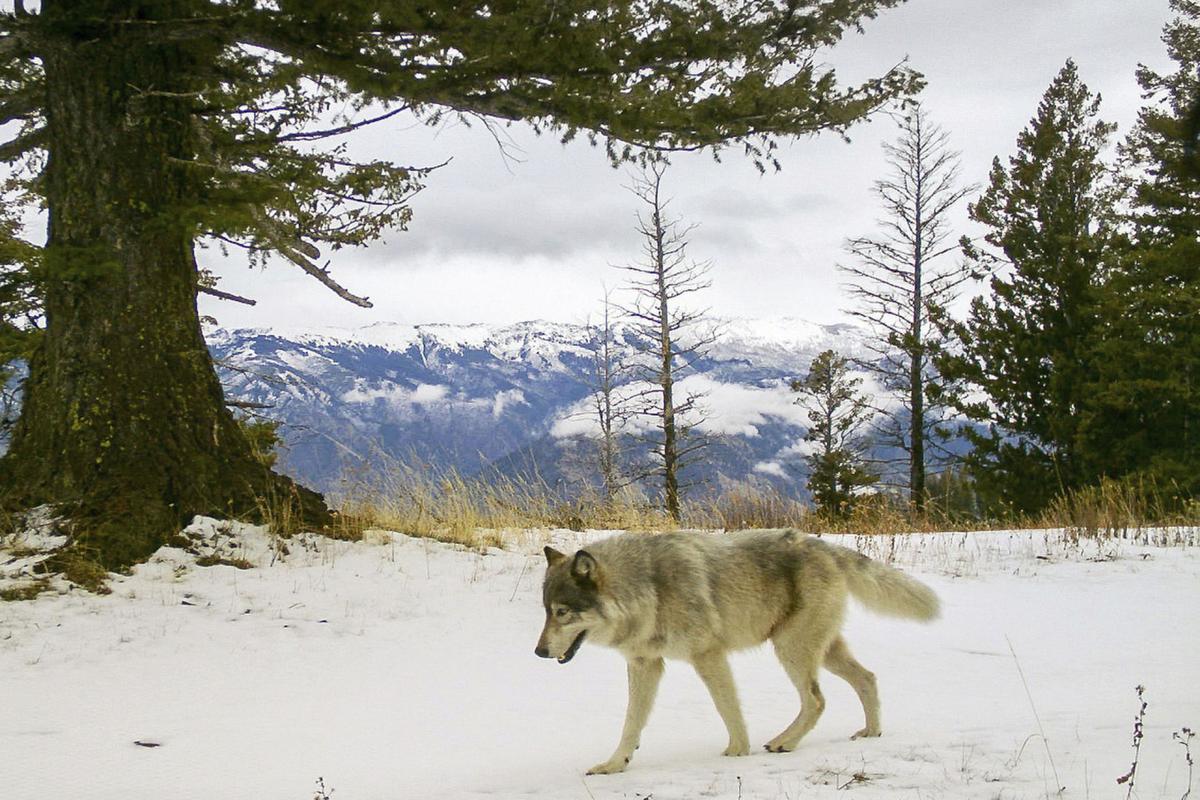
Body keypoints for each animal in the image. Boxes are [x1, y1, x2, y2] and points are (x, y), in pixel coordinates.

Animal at [534, 528, 939, 774]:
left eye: (562, 612)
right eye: (546, 611)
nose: (538, 652)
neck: (648, 589)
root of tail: (823, 545)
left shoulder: (708, 655)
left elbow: (727, 708)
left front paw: (737, 753)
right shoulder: (645, 664)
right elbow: (631, 723)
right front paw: (614, 765)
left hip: (791, 650)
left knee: (817, 699)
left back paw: (783, 742)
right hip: (822, 651)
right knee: (867, 678)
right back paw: (871, 732)